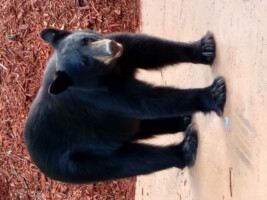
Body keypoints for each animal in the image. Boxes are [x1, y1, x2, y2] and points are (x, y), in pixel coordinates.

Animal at [24, 27, 227, 183]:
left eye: (86, 39)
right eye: (85, 62)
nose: (111, 47)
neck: (108, 72)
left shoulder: (122, 50)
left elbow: (147, 48)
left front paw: (205, 49)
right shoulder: (100, 96)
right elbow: (147, 100)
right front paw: (213, 94)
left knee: (139, 127)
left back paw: (182, 121)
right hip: (77, 162)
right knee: (131, 161)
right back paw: (186, 147)